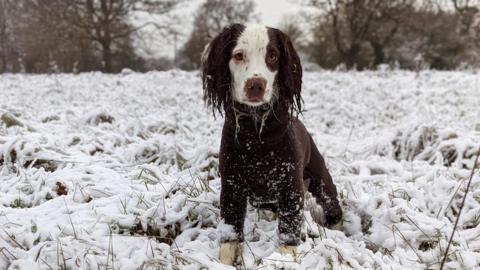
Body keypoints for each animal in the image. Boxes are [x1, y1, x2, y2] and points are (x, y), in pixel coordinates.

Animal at [201, 23, 344, 266]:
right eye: (238, 55)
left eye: (273, 56)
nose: (256, 85)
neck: (256, 135)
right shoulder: (231, 183)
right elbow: (230, 227)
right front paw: (225, 260)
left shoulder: (290, 186)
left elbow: (289, 227)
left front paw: (284, 259)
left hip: (320, 179)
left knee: (331, 202)